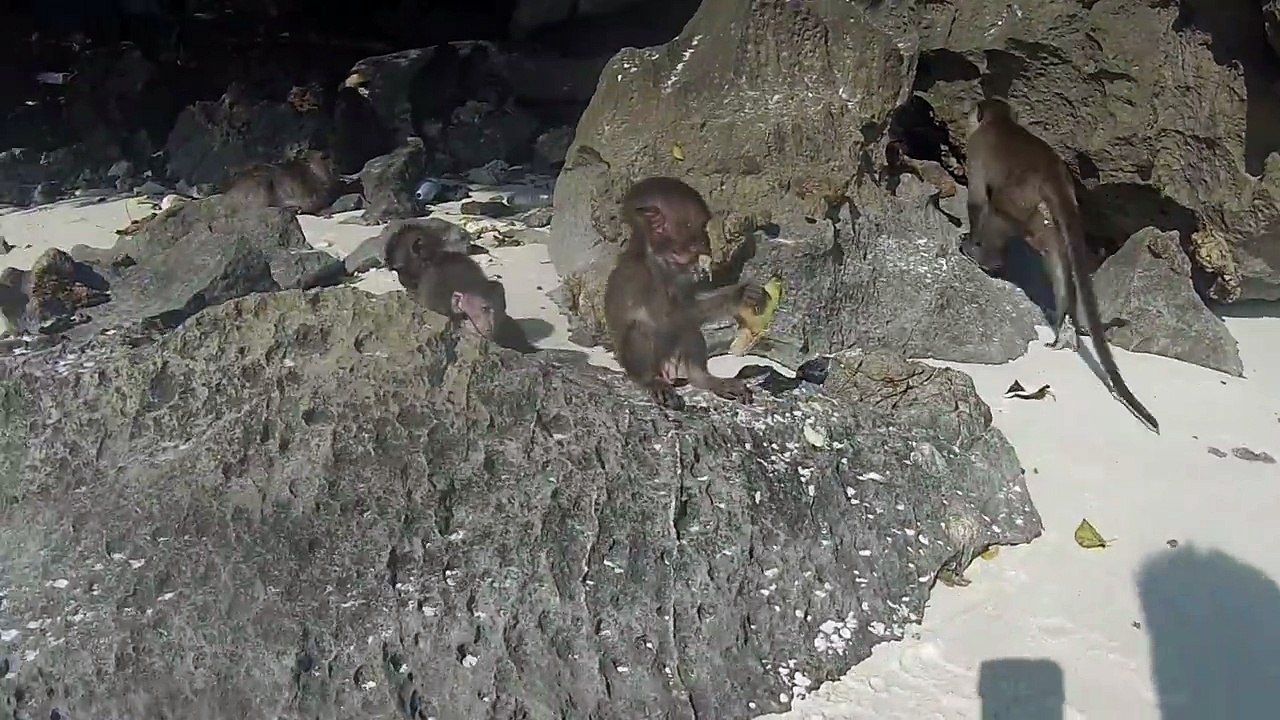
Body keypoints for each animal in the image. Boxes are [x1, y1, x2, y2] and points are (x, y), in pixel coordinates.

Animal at [603, 176, 768, 411]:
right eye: (698, 231)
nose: (707, 244)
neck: (661, 258)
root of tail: (668, 372)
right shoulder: (646, 278)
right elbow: (673, 315)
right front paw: (738, 295)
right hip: (638, 363)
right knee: (641, 329)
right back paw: (651, 381)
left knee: (689, 332)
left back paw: (705, 379)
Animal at [962, 97, 1159, 434]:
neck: (1000, 123)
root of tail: (1052, 174)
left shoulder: (976, 152)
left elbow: (976, 200)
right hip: (1041, 215)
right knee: (1057, 260)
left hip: (1018, 201)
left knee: (996, 212)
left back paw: (984, 258)